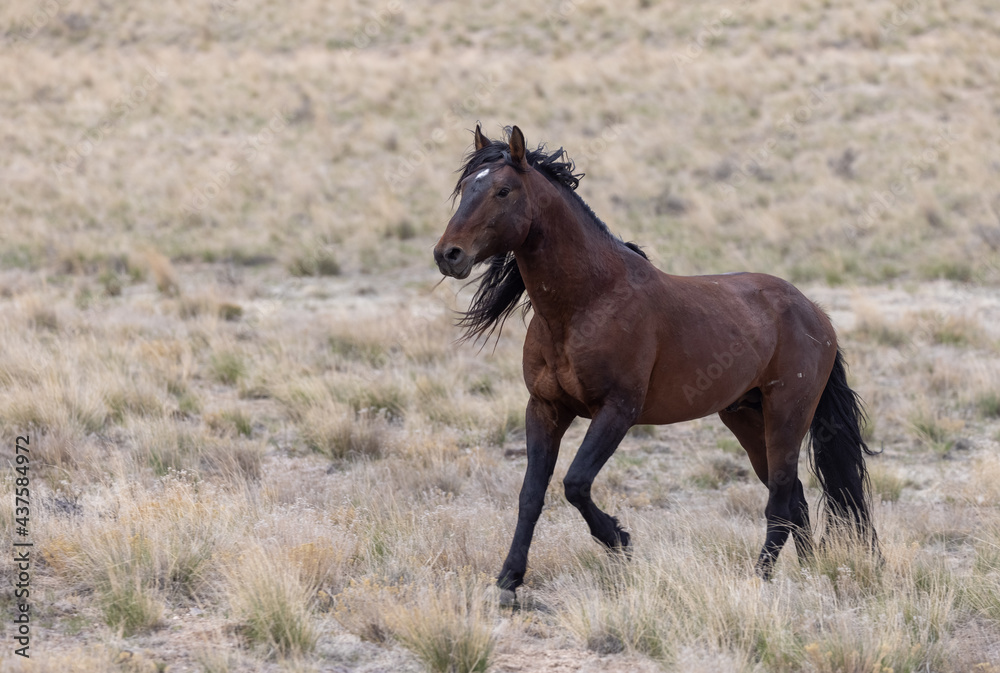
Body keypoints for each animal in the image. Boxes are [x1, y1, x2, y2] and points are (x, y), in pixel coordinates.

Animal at [432, 124, 876, 592]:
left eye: (503, 190)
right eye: (465, 186)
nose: (448, 254)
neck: (589, 301)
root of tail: (815, 312)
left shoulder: (617, 411)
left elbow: (575, 483)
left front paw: (619, 539)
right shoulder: (545, 409)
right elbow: (531, 495)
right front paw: (509, 578)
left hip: (787, 415)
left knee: (780, 500)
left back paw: (759, 578)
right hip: (746, 418)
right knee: (795, 499)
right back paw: (808, 573)